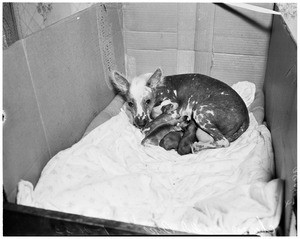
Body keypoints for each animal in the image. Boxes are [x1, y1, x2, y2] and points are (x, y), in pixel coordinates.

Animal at [111, 68, 250, 152]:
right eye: (130, 103)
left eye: (148, 101)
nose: (140, 123)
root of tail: (246, 118)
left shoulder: (174, 111)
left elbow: (148, 126)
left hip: (200, 112)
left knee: (224, 141)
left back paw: (198, 145)